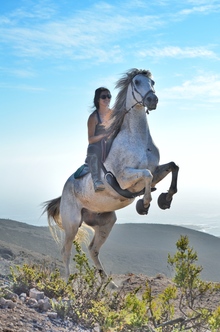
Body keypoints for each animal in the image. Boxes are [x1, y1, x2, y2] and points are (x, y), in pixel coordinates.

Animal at [43, 68, 179, 282]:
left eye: (153, 82)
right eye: (137, 82)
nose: (152, 100)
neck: (137, 140)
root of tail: (63, 192)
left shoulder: (157, 170)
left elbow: (173, 166)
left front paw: (165, 199)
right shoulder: (124, 179)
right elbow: (147, 175)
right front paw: (144, 205)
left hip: (106, 221)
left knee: (93, 250)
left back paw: (109, 283)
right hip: (72, 224)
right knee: (66, 251)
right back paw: (68, 282)